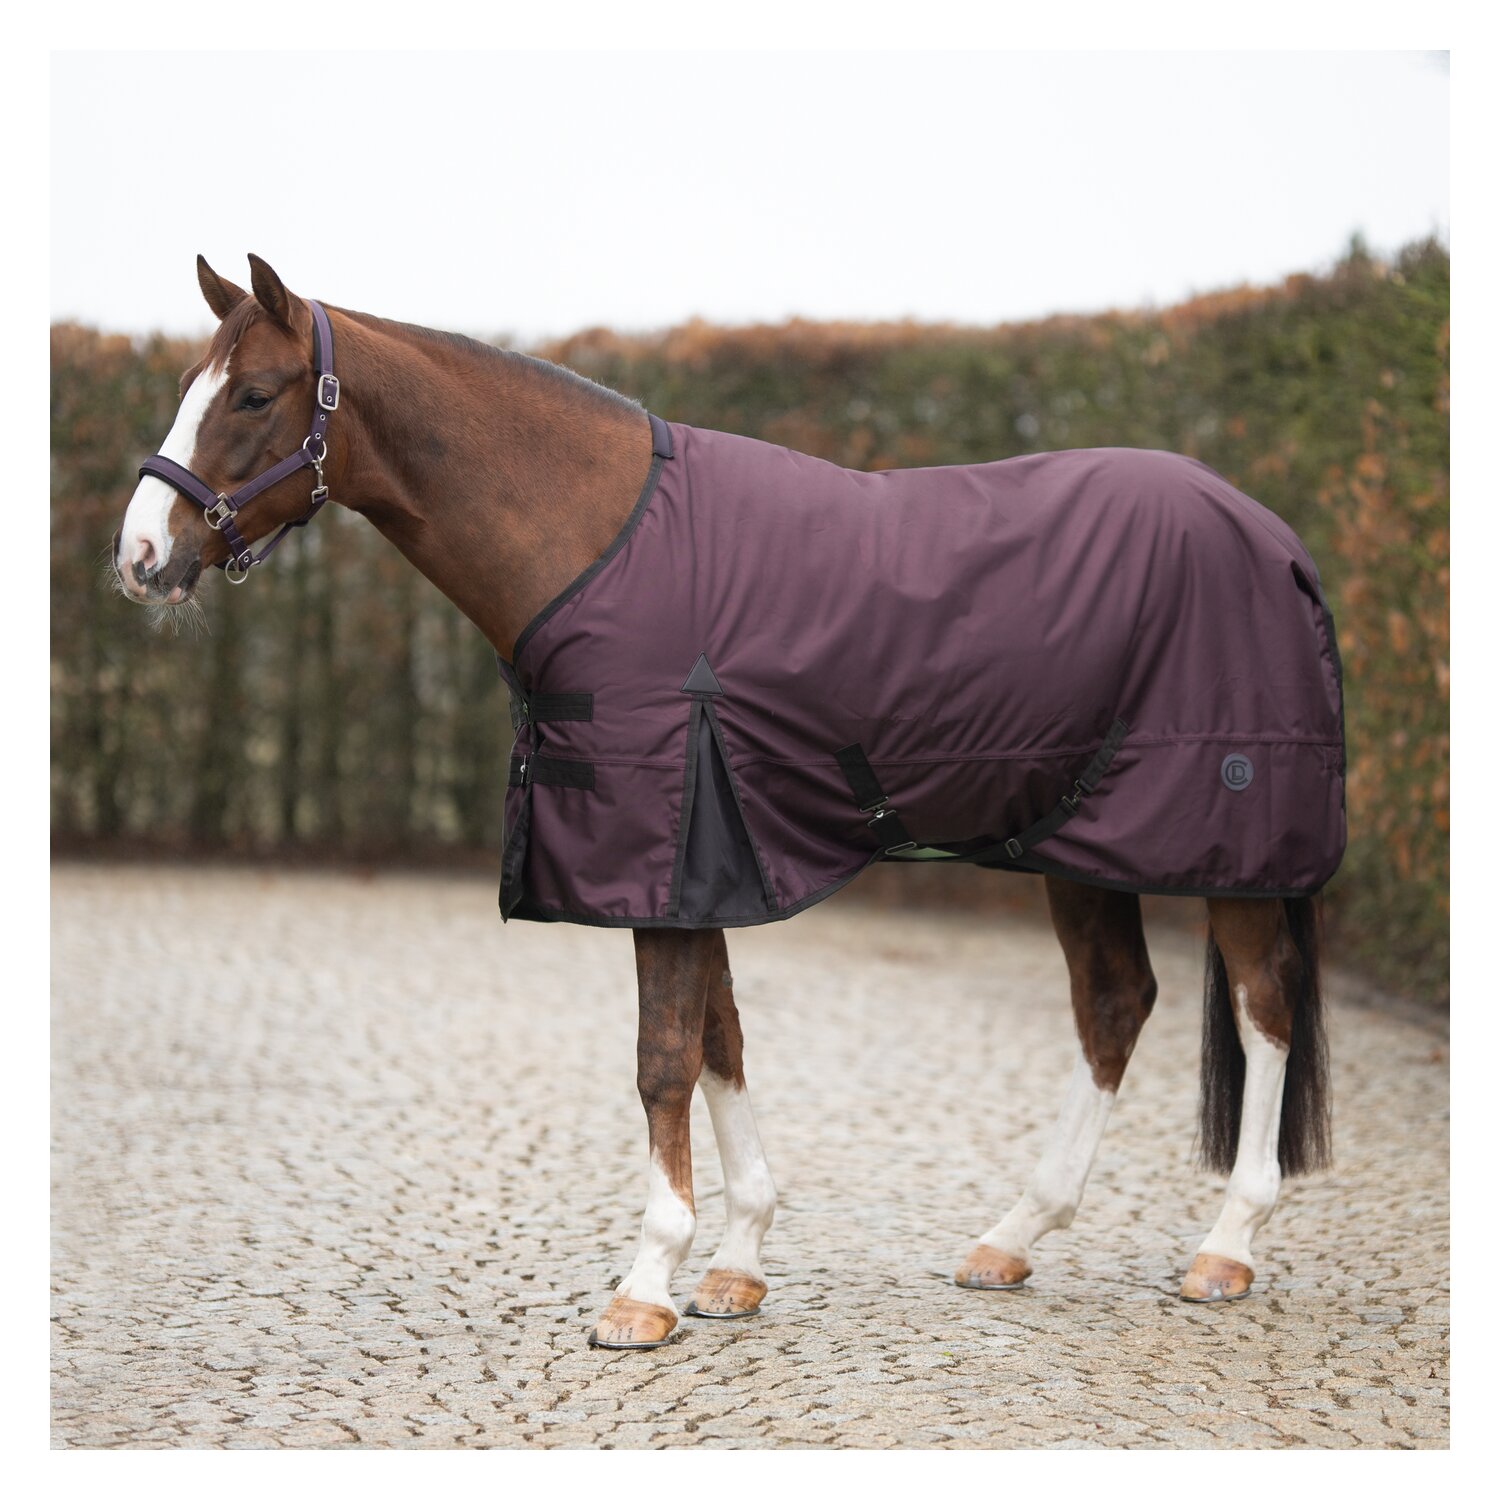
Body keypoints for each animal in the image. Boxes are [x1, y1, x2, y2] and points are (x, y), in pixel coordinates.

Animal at [112, 255, 1337, 1351]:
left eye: (254, 395)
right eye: (186, 384)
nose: (137, 556)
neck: (599, 538)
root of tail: (1276, 539)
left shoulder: (669, 853)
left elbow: (664, 1057)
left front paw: (646, 1284)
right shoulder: (707, 861)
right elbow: (721, 1041)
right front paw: (739, 1262)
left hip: (1230, 845)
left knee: (1263, 1005)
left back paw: (1225, 1248)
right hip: (1074, 845)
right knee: (1114, 1003)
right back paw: (1013, 1236)